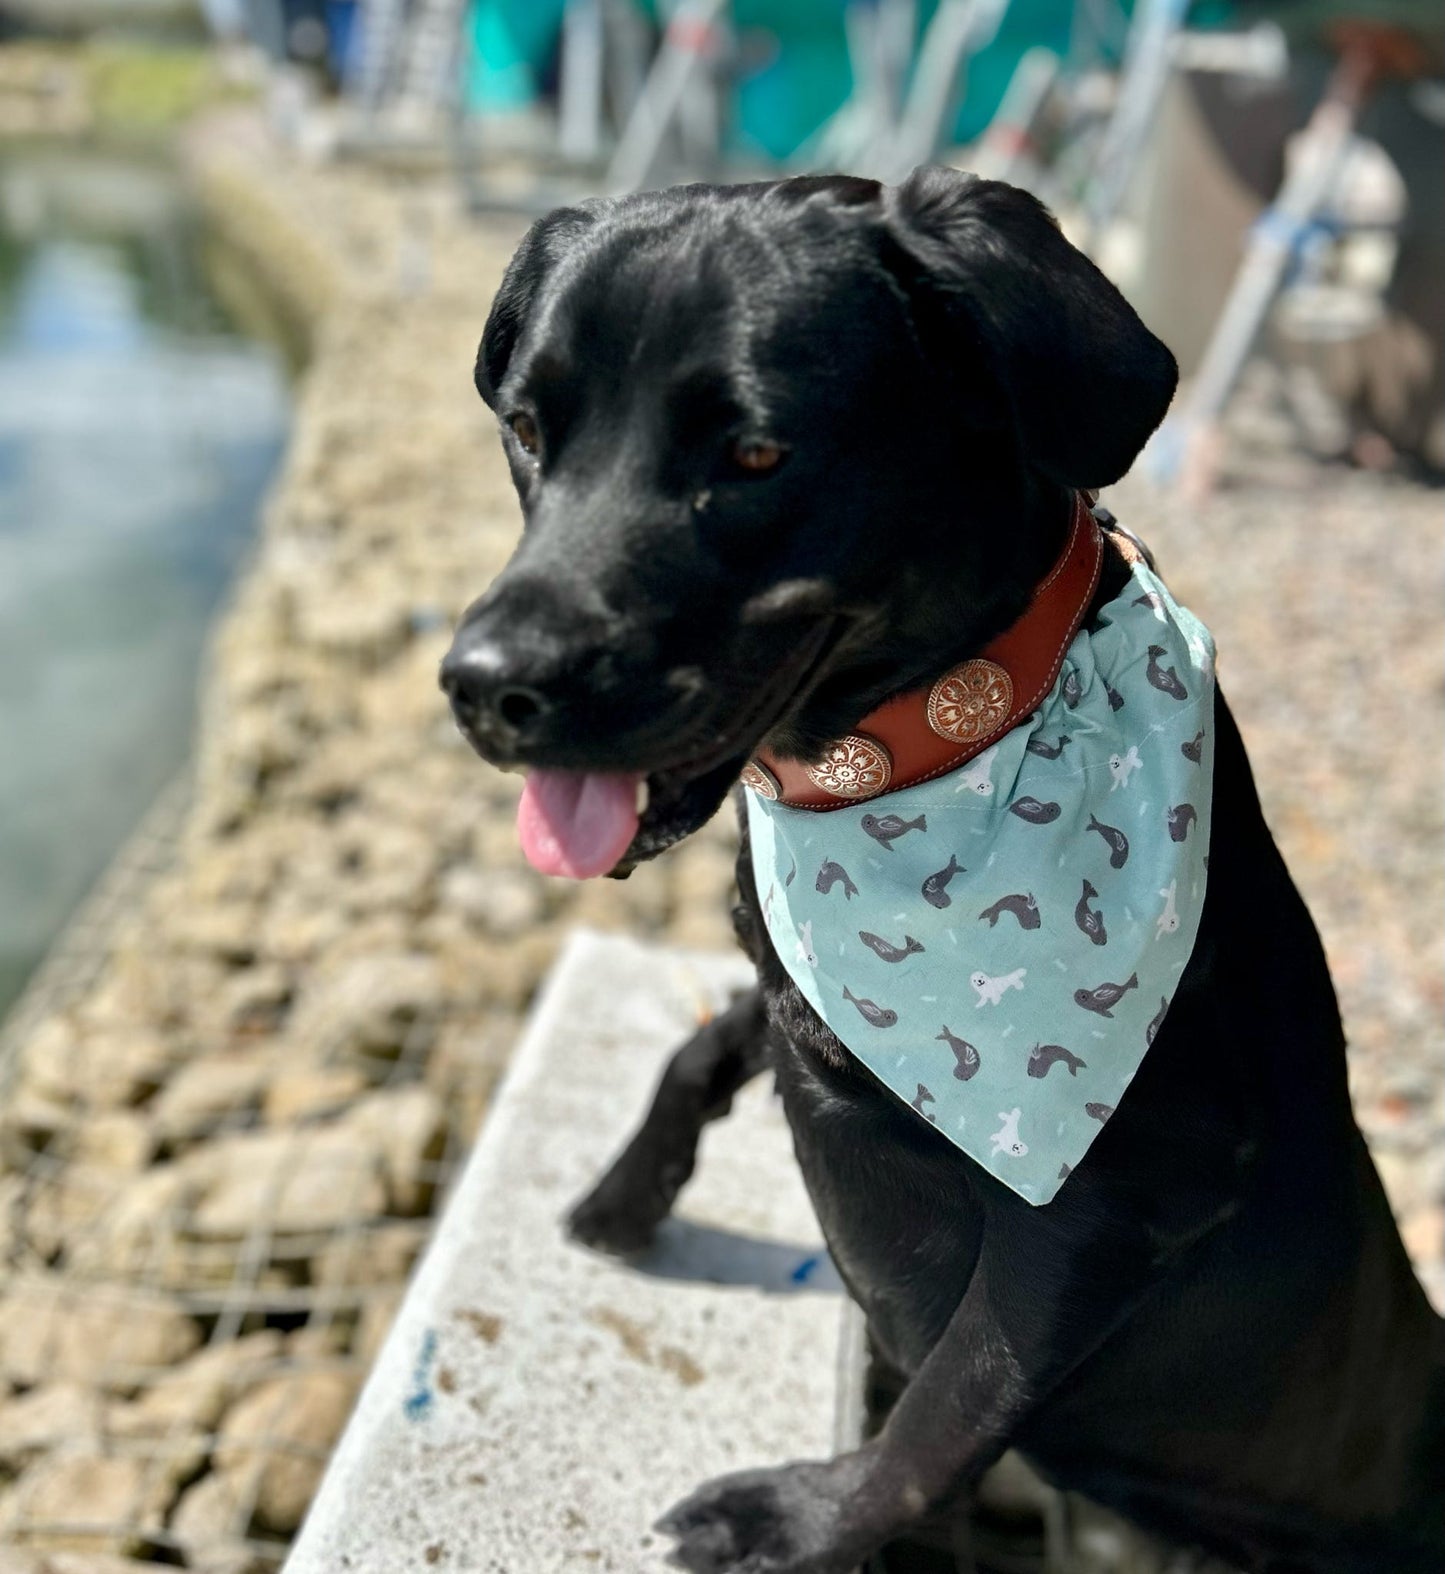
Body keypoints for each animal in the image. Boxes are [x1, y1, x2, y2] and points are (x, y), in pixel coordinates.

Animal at [443, 172, 1445, 1574]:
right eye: (528, 429)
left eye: (755, 455)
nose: (482, 686)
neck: (920, 754)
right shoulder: (803, 992)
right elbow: (709, 1035)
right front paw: (626, 1192)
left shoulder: (1104, 1212)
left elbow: (935, 1415)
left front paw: (797, 1518)